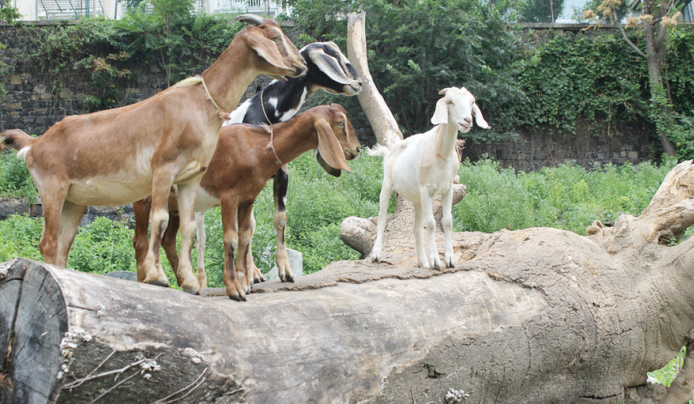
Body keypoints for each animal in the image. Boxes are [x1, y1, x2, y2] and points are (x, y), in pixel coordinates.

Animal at [0, 15, 306, 294]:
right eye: (276, 37)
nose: (301, 66)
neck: (197, 103)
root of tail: (35, 143)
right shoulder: (163, 169)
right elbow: (160, 221)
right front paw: (158, 277)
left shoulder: (191, 177)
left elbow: (188, 228)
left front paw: (190, 282)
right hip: (52, 189)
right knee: (48, 243)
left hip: (74, 201)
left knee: (63, 246)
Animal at [133, 104, 362, 300]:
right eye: (340, 122)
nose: (357, 149)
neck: (257, 146)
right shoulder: (229, 198)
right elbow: (231, 239)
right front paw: (234, 289)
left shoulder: (247, 199)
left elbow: (245, 236)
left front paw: (245, 282)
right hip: (144, 199)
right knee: (141, 241)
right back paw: (147, 280)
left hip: (175, 206)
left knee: (168, 239)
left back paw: (186, 283)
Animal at [193, 41, 362, 284]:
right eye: (334, 56)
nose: (358, 83)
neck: (271, 114)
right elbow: (248, 227)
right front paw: (251, 273)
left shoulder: (281, 174)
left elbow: (279, 219)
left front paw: (285, 270)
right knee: (200, 236)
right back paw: (203, 280)